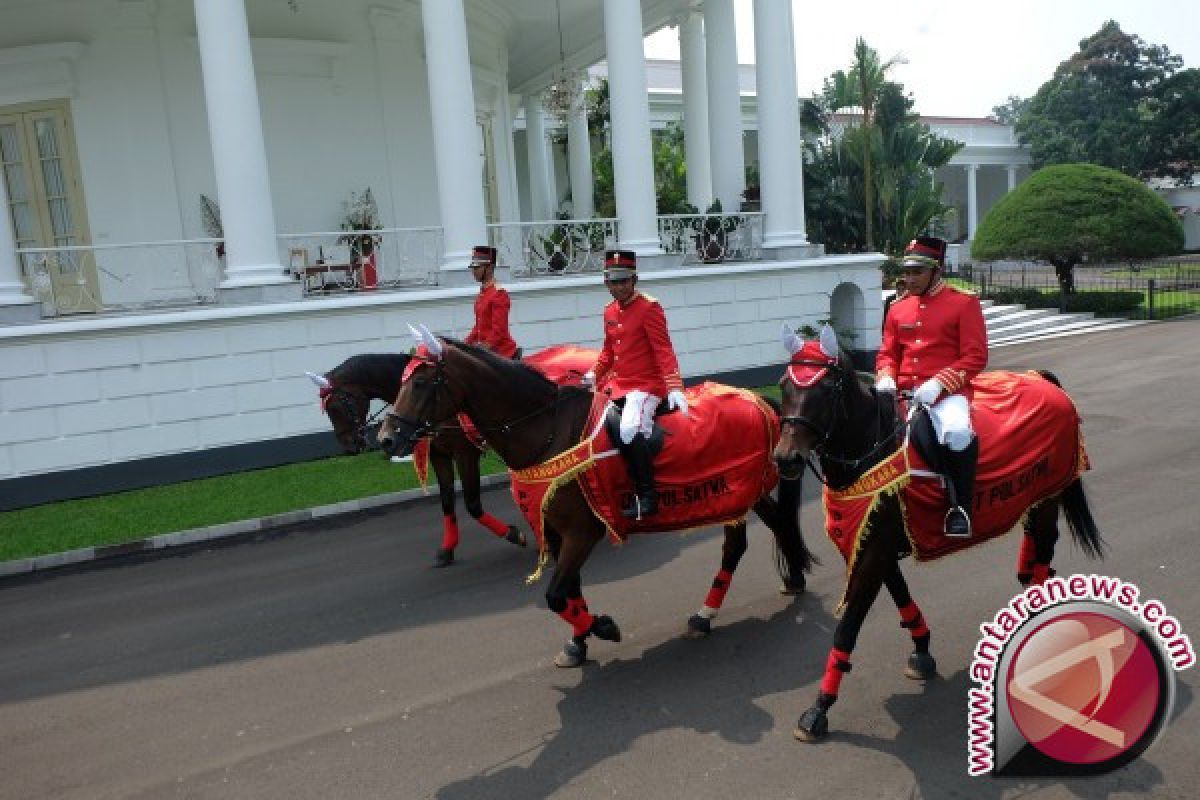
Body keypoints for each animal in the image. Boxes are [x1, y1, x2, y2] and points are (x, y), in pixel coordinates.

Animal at [309, 352, 525, 566]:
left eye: (335, 406)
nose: (349, 447)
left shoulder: (465, 454)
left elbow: (472, 504)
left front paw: (513, 534)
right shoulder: (439, 455)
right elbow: (447, 501)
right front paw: (447, 548)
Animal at [379, 331, 811, 671]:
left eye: (421, 383)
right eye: (401, 381)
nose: (385, 438)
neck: (546, 431)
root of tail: (758, 399)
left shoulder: (582, 532)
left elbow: (555, 595)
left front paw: (601, 626)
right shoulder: (555, 532)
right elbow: (570, 590)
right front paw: (577, 641)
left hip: (741, 489)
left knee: (745, 541)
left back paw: (720, 607)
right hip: (742, 494)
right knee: (765, 528)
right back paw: (765, 589)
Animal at [772, 326, 1099, 743]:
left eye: (827, 389)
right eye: (784, 385)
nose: (786, 459)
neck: (873, 449)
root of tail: (1040, 378)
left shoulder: (874, 551)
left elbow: (847, 629)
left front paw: (818, 708)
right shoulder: (872, 541)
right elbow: (900, 594)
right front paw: (922, 649)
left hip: (1048, 495)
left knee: (1046, 546)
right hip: (1037, 496)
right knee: (1037, 544)